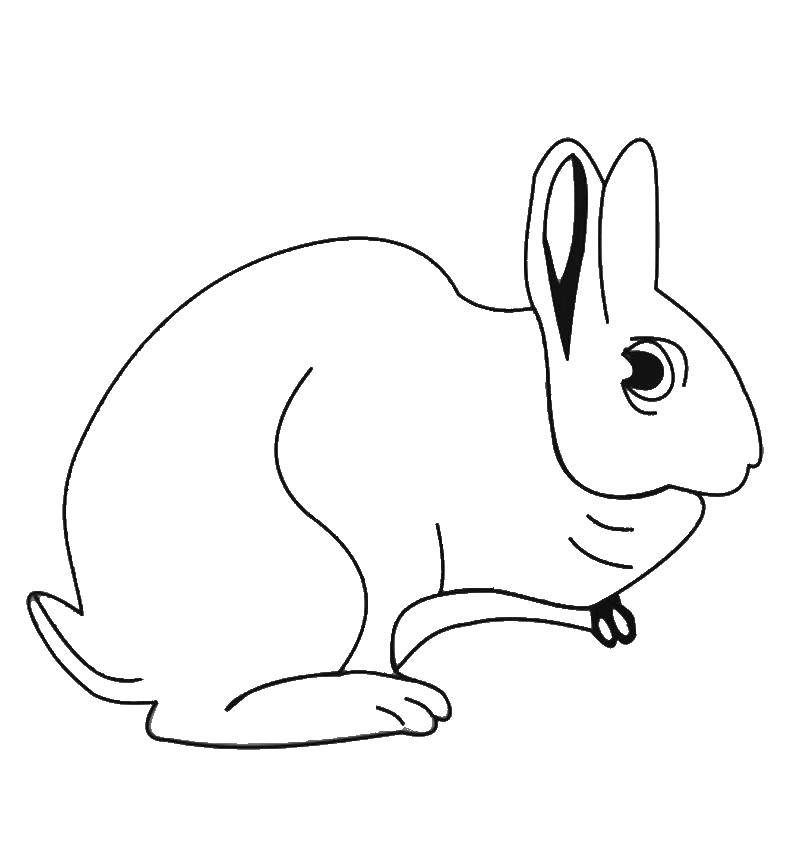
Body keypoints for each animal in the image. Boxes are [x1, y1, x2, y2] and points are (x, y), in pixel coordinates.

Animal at [27, 138, 762, 748]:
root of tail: (120, 646)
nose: (752, 457)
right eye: (646, 372)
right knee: (192, 717)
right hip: (316, 584)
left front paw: (609, 620)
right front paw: (397, 694)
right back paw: (381, 704)